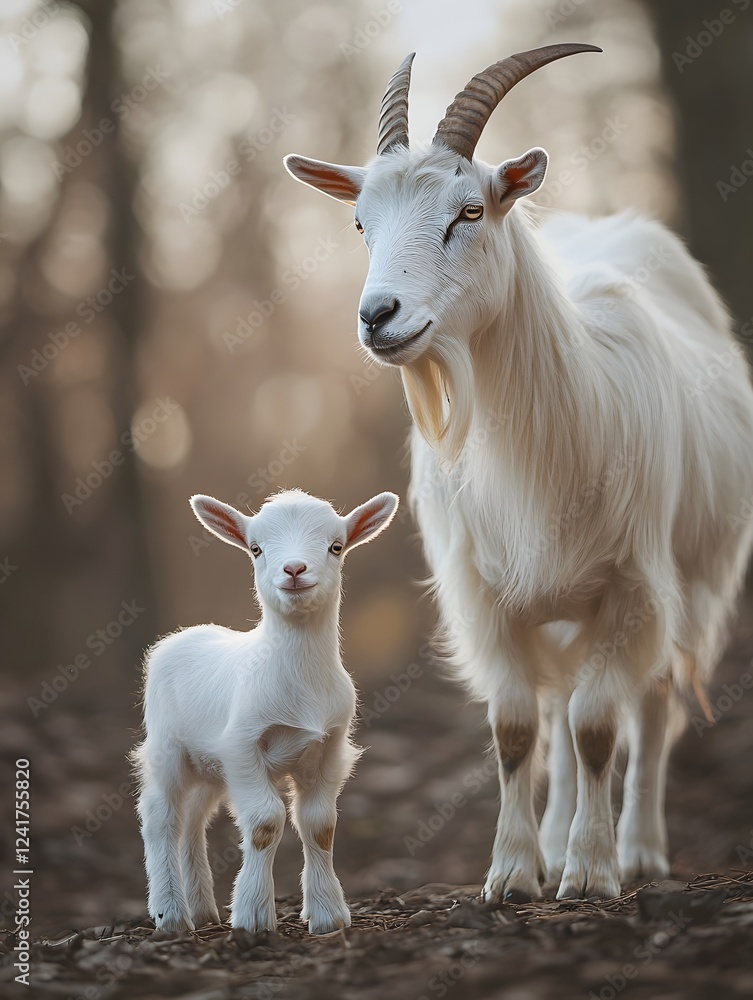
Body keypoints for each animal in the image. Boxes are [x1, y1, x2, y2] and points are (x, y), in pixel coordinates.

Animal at [132, 488, 398, 932]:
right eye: (256, 549)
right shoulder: (242, 744)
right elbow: (265, 823)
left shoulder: (329, 745)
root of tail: (184, 634)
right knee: (161, 815)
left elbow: (320, 825)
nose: (294, 568)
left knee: (193, 820)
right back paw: (171, 915)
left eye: (336, 546)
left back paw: (202, 910)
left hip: (210, 764)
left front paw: (328, 916)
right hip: (167, 745)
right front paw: (254, 917)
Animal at [284, 46, 753, 901]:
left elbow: (601, 725)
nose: (377, 316)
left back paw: (637, 849)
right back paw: (559, 839)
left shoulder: (633, 585)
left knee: (650, 707)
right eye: (361, 221)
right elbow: (515, 728)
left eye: (468, 212)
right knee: (560, 711)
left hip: (691, 580)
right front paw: (511, 873)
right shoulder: (484, 592)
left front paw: (594, 873)